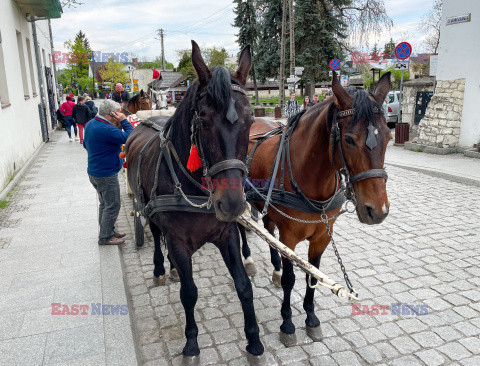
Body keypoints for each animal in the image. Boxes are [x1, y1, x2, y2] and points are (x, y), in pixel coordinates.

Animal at [124, 40, 264, 358]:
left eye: (251, 120)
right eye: (203, 120)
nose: (233, 203)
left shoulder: (227, 235)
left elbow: (243, 285)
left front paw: (253, 339)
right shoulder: (177, 240)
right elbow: (189, 294)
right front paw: (191, 342)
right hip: (148, 210)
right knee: (155, 234)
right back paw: (161, 268)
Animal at [239, 71, 390, 340]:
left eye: (389, 136)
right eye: (349, 139)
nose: (378, 211)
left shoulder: (322, 236)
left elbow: (313, 274)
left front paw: (310, 317)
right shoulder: (289, 236)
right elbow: (291, 279)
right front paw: (287, 322)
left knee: (267, 227)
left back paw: (275, 268)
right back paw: (248, 260)